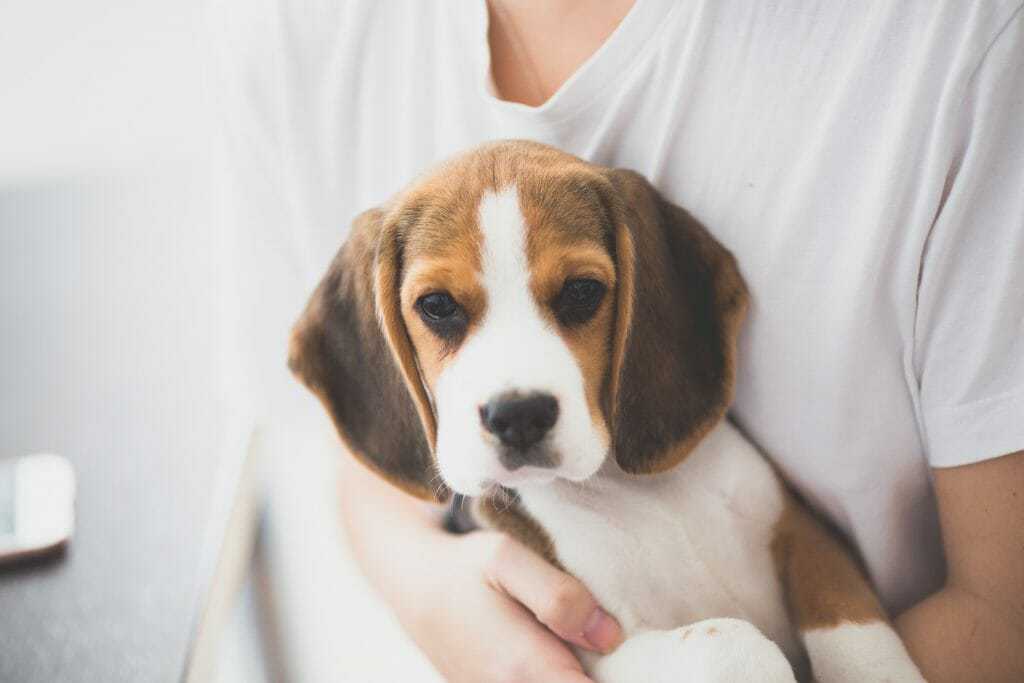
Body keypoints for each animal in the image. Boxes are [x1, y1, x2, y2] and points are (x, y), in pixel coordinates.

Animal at [288, 141, 929, 679]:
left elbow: (856, 629)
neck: (635, 493)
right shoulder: (602, 649)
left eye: (581, 291)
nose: (518, 416)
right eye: (438, 306)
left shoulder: (799, 530)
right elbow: (735, 642)